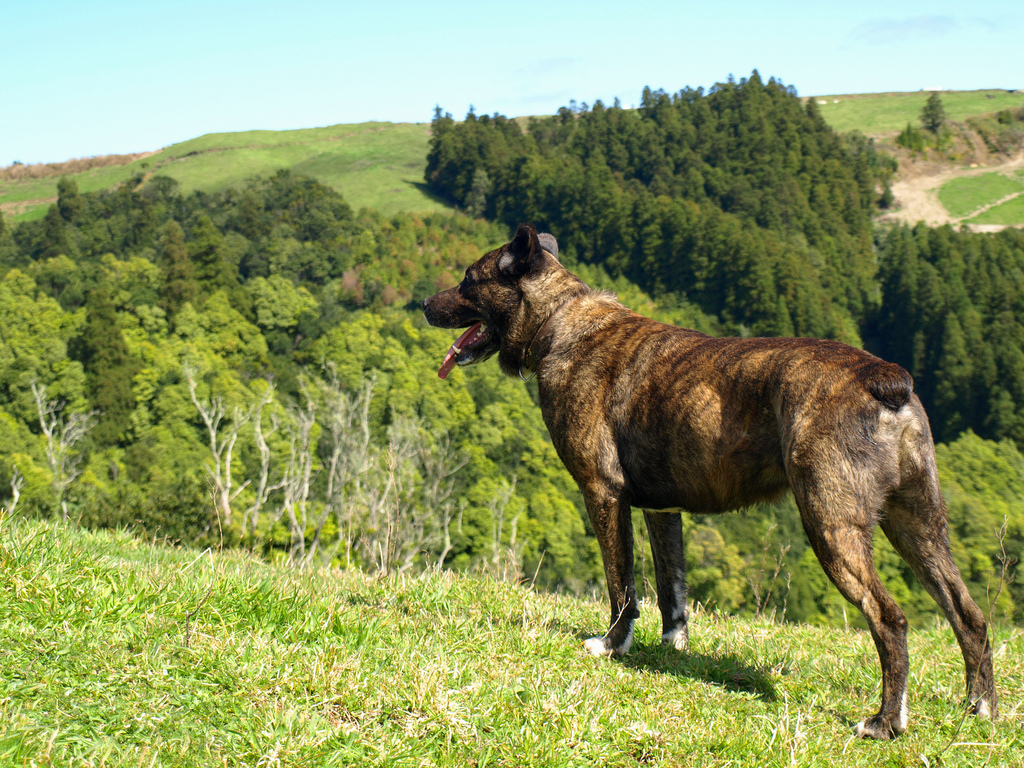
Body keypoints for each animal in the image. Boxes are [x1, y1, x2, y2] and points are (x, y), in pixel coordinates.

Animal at [419, 222, 995, 741]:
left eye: (469, 280)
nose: (423, 302)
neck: (562, 321)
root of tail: (882, 378)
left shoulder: (603, 494)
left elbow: (621, 584)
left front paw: (612, 645)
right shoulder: (661, 511)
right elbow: (671, 588)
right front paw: (672, 646)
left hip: (833, 527)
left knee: (890, 619)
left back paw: (884, 722)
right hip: (918, 526)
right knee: (967, 614)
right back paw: (980, 708)